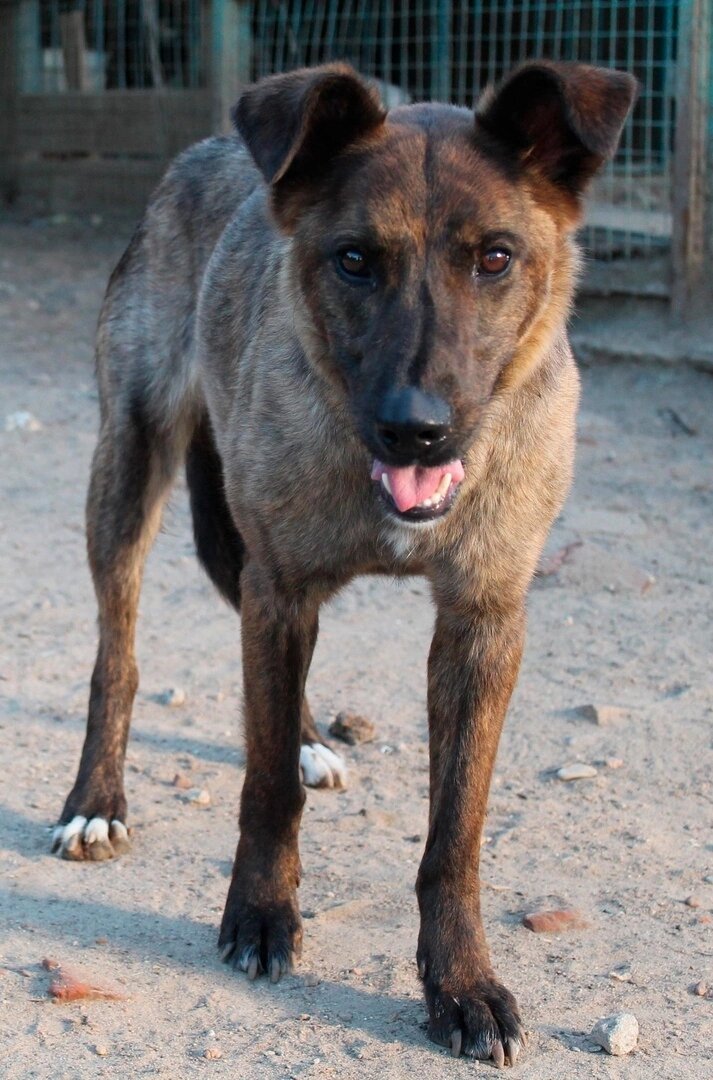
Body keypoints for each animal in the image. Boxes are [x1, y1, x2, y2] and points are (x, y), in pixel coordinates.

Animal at [52, 63, 639, 1067]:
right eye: (354, 259)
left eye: (495, 258)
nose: (418, 428)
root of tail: (204, 149)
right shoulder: (281, 589)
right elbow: (262, 792)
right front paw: (259, 915)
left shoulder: (481, 621)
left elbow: (454, 835)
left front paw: (461, 985)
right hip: (130, 466)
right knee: (117, 654)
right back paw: (98, 798)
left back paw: (309, 740)